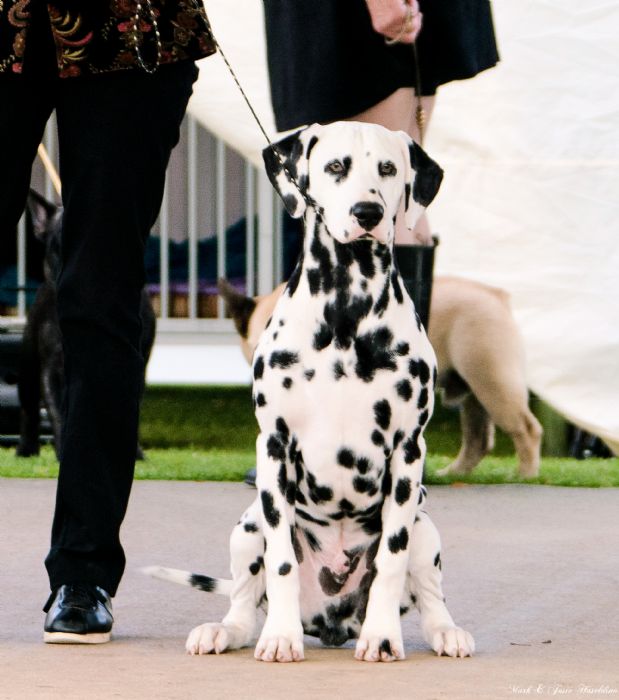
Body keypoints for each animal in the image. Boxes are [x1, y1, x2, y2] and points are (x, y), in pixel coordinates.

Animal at [16, 190, 156, 460]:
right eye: (57, 246)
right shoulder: (51, 372)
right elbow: (57, 413)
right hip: (27, 368)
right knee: (29, 410)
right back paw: (26, 449)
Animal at [147, 122, 474, 662]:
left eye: (388, 168)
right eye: (336, 166)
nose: (368, 213)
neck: (345, 312)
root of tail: (332, 622)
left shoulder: (409, 451)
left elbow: (392, 561)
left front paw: (383, 637)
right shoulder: (274, 447)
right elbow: (280, 563)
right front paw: (280, 637)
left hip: (426, 526)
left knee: (429, 593)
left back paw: (445, 631)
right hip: (248, 525)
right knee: (244, 601)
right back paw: (224, 630)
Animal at [220, 275, 542, 478]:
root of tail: (496, 296)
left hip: (492, 380)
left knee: (526, 429)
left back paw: (525, 475)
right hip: (475, 389)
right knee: (478, 439)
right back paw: (454, 473)